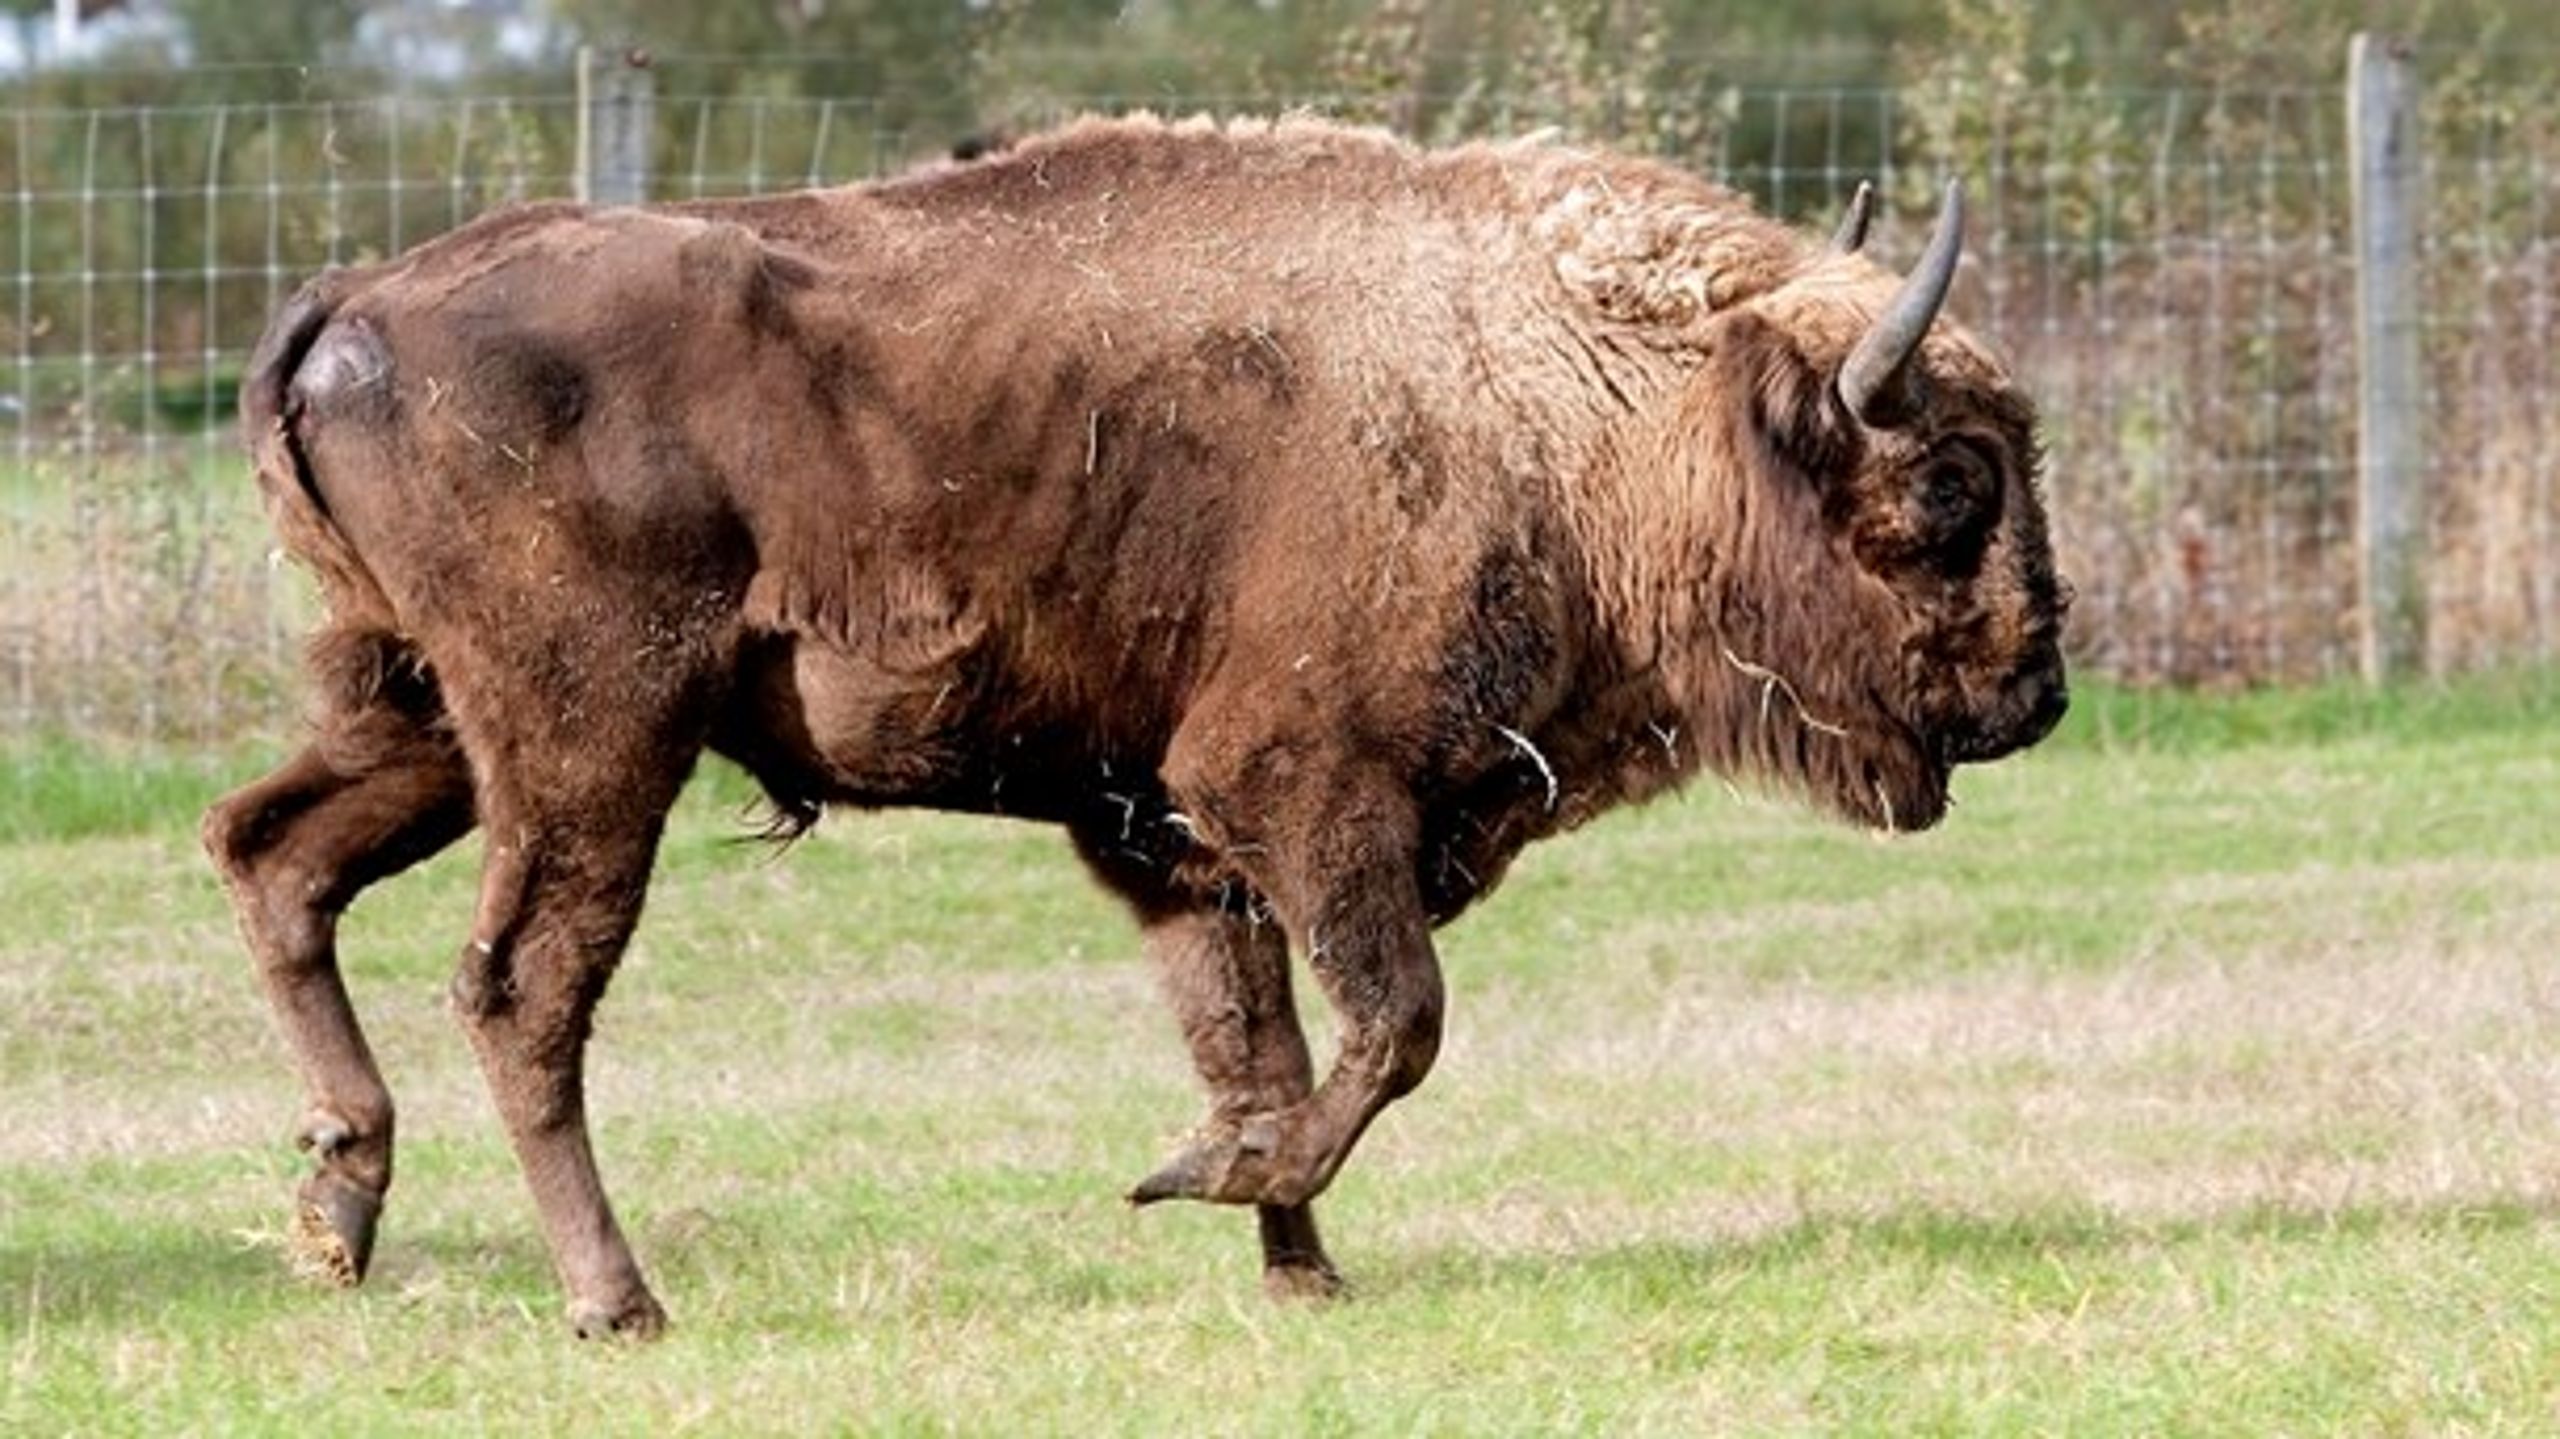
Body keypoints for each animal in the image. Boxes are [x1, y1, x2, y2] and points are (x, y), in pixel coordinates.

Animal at [206, 114, 2069, 1338]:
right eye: (1952, 483)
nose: (2036, 692)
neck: (1576, 389)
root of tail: (357, 301)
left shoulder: (1178, 838)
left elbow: (1264, 1037)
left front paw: (1300, 1265)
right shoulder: (1300, 789)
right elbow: (1393, 1023)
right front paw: (1206, 1180)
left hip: (422, 726)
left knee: (272, 856)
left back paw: (337, 1212)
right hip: (589, 741)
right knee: (522, 986)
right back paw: (616, 1297)